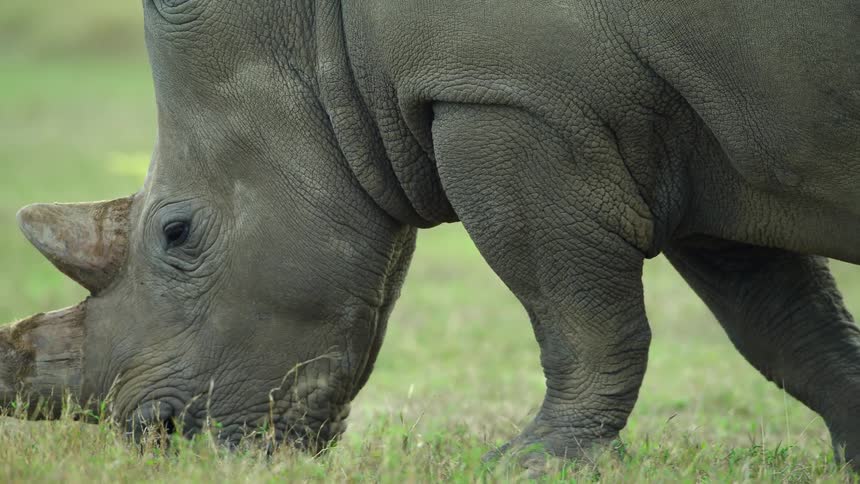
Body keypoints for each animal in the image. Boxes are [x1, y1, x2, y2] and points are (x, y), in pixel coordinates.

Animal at [1, 0, 858, 467]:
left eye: (176, 233)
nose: (160, 439)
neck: (310, 39)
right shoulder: (702, 136)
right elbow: (786, 327)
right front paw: (855, 445)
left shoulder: (508, 100)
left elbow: (578, 316)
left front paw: (533, 463)